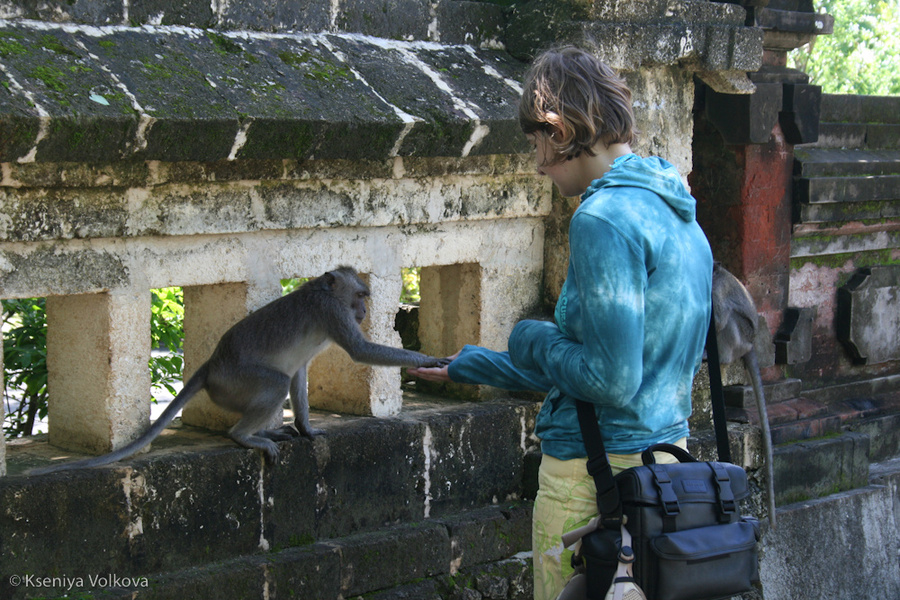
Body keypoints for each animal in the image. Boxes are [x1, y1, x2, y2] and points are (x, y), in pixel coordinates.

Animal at [29, 268, 450, 474]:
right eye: (360, 296)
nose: (363, 311)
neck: (324, 293)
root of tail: (212, 364)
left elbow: (300, 374)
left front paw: (306, 428)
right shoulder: (332, 313)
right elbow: (360, 352)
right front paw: (430, 361)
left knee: (285, 380)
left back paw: (268, 430)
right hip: (234, 383)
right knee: (275, 383)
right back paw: (246, 436)